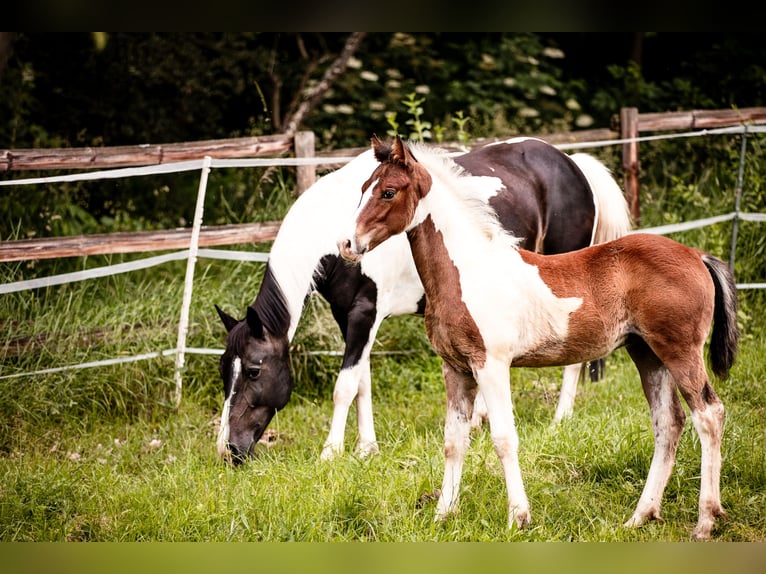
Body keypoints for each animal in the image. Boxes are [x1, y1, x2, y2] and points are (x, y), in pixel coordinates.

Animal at [214, 137, 632, 466]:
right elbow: (363, 382)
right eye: (223, 371)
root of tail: (573, 163)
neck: (329, 235)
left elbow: (345, 386)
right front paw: (366, 448)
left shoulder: (365, 314)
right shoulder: (349, 317)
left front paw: (331, 453)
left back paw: (560, 418)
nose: (228, 450)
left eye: (254, 370)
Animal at [340, 137, 740, 544]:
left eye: (388, 192)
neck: (469, 270)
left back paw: (705, 521)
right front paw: (443, 514)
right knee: (668, 423)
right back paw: (640, 516)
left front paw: (518, 517)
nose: (347, 243)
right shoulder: (455, 368)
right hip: (647, 354)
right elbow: (454, 440)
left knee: (709, 414)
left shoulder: (492, 365)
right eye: (362, 188)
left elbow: (503, 438)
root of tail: (697, 256)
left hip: (680, 351)